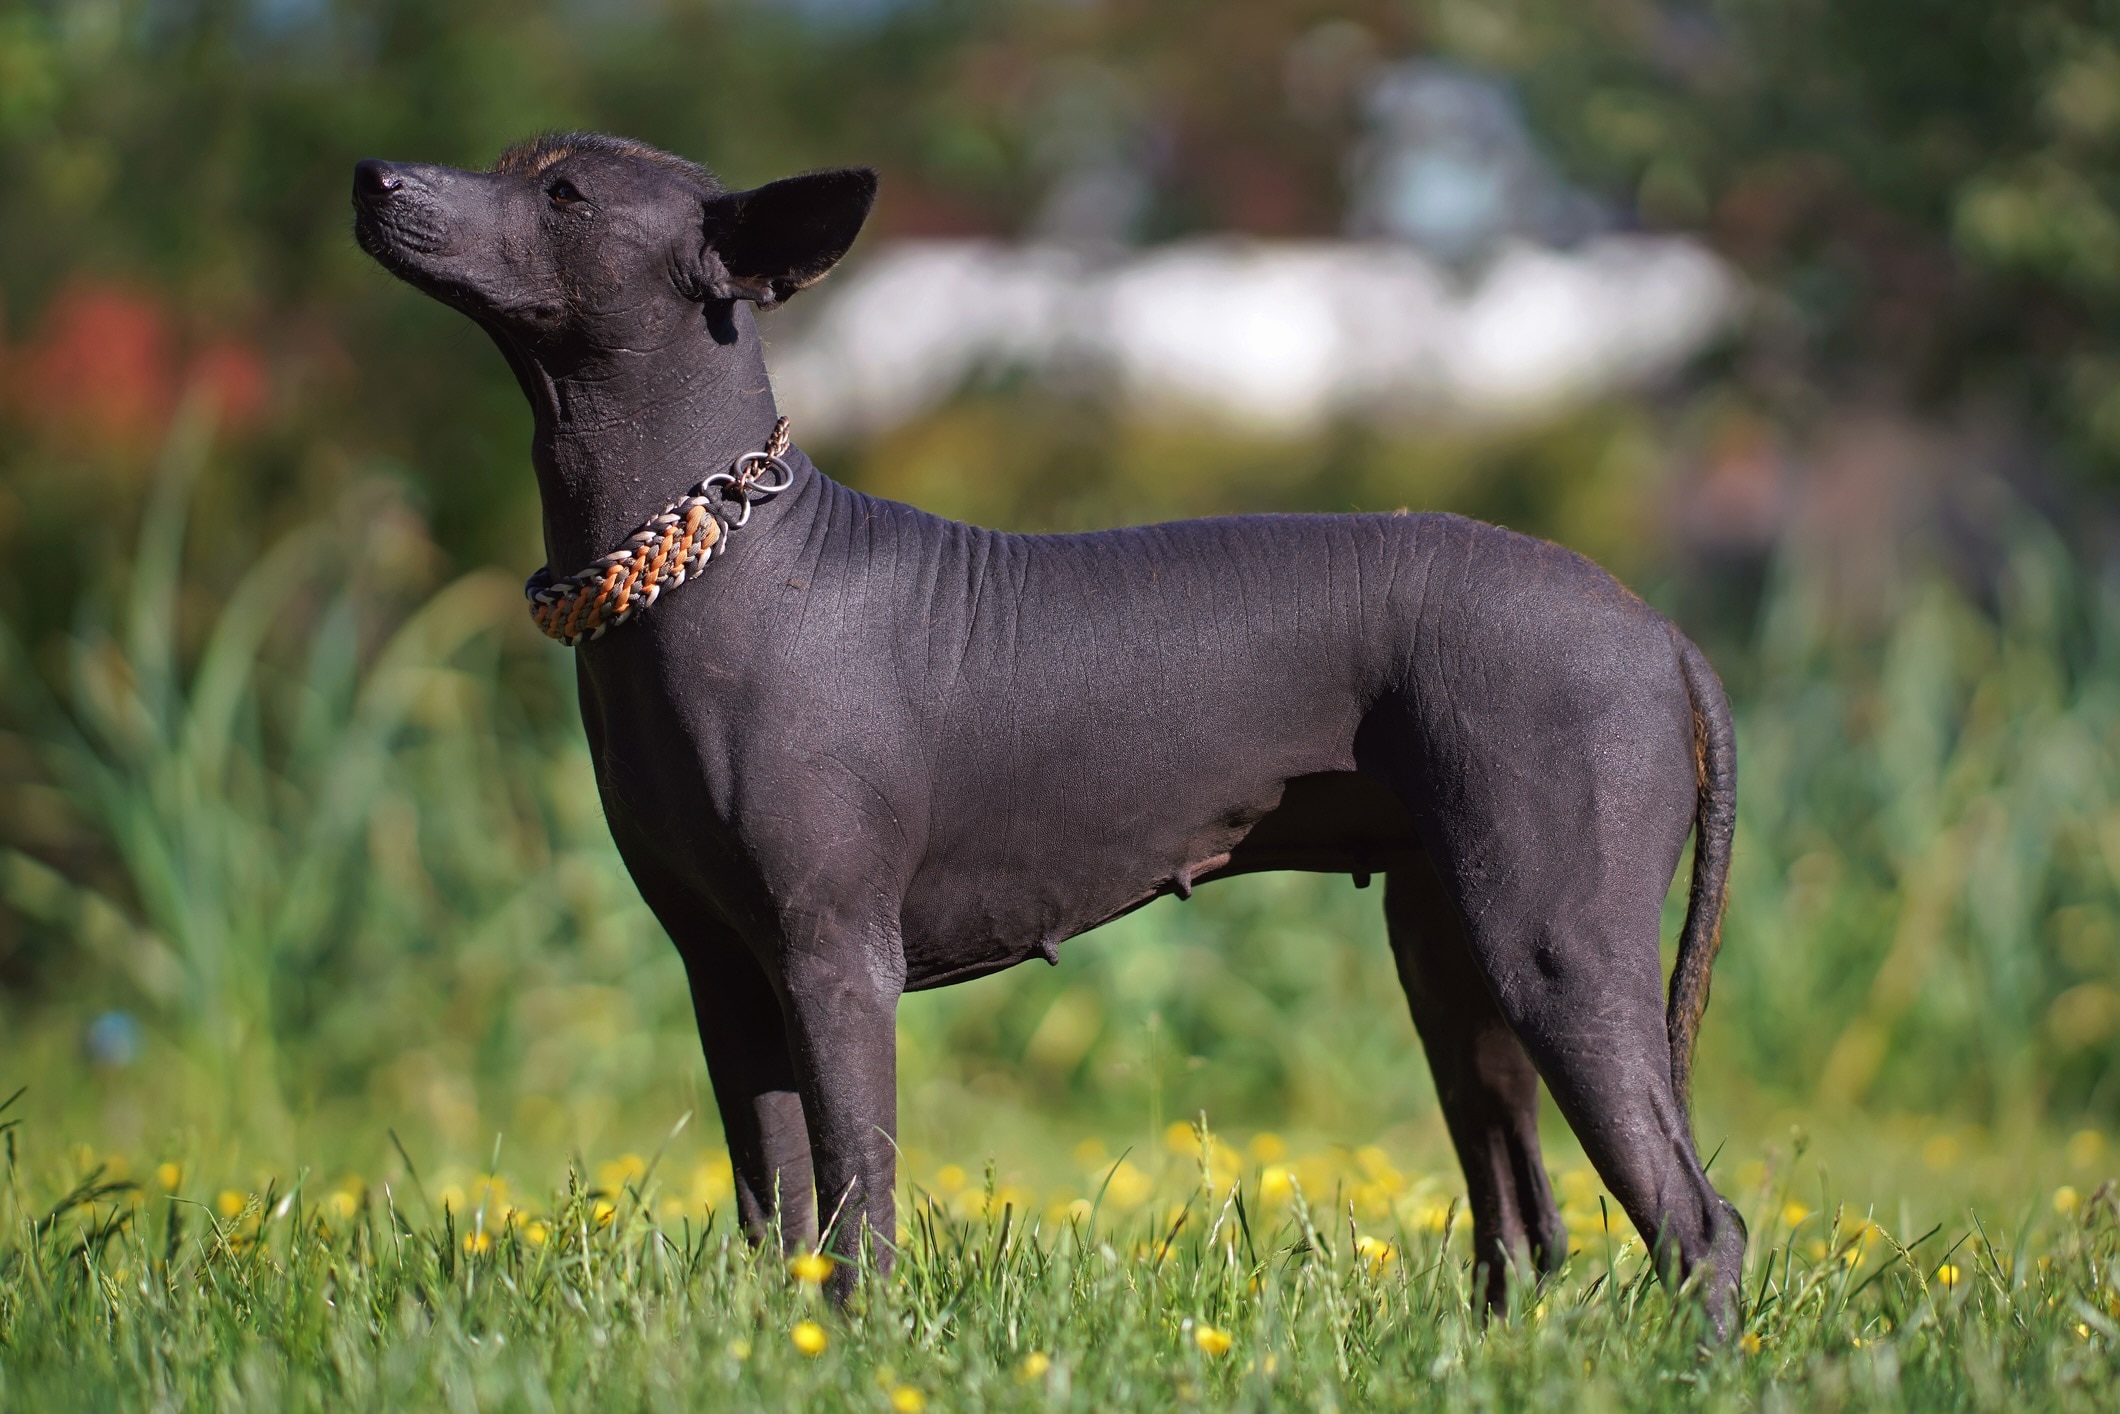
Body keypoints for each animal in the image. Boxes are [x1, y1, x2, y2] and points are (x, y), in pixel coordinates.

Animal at [343, 132, 1738, 1331]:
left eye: (564, 195)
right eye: (513, 161)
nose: (373, 175)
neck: (717, 554)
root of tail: (1658, 629)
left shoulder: (833, 960)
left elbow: (857, 1200)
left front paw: (855, 1345)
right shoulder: (723, 976)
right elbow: (776, 1208)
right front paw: (779, 1341)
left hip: (1555, 950)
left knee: (1696, 1220)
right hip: (1452, 961)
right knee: (1524, 1217)